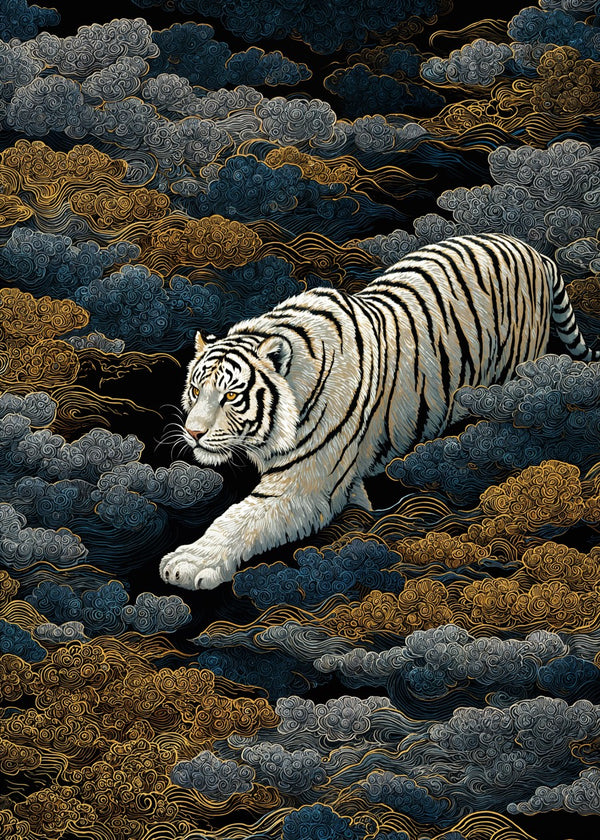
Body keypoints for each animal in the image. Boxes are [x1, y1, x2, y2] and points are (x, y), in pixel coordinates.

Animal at [160, 233, 600, 590]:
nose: (193, 434)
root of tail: (534, 252)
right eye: (196, 390)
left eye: (231, 396)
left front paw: (187, 563)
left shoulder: (304, 484)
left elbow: (238, 519)